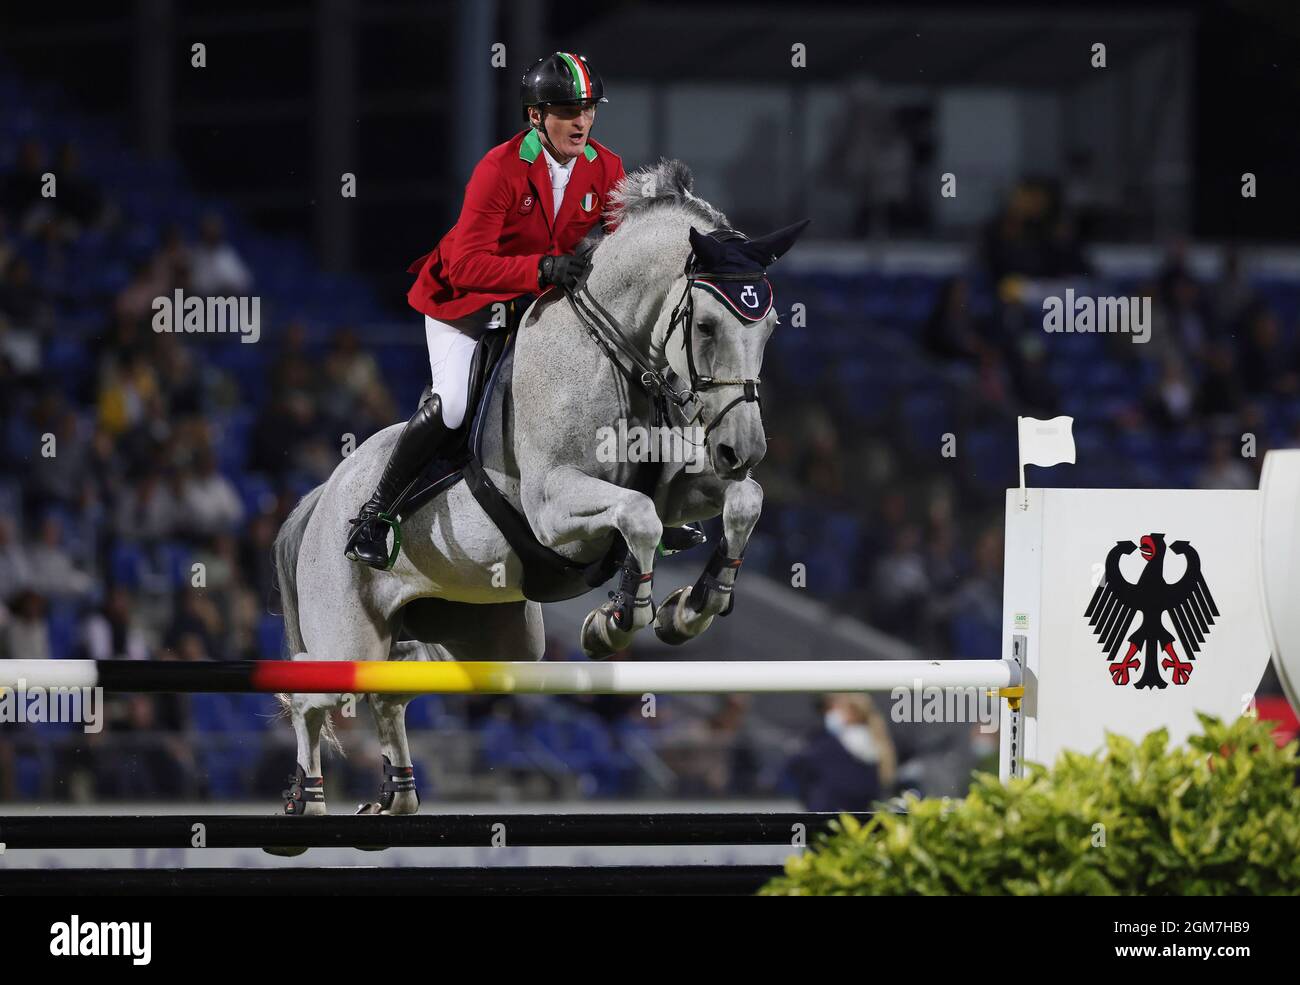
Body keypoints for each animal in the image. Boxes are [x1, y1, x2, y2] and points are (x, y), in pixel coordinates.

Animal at [269, 161, 806, 821]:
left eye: (772, 327)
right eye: (705, 326)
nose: (742, 449)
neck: (611, 357)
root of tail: (321, 498)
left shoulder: (681, 488)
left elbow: (739, 502)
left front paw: (693, 606)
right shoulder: (554, 509)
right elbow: (639, 517)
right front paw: (618, 620)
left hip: (496, 640)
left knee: (397, 686)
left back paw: (396, 795)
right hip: (350, 634)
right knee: (309, 693)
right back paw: (308, 800)